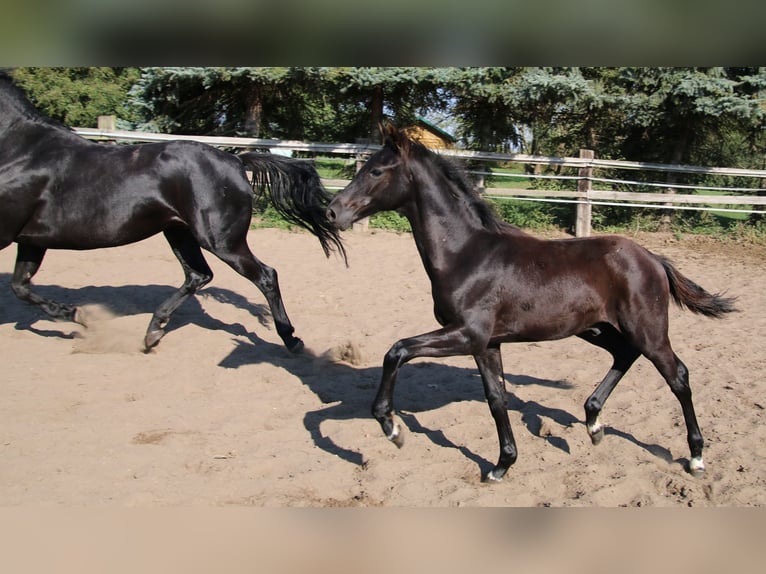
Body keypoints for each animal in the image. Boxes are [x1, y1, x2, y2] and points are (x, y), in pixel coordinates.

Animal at [0, 72, 344, 352]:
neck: (23, 150)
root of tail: (235, 160)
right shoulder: (31, 239)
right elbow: (20, 286)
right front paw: (76, 315)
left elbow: (20, 288)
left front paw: (78, 315)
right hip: (179, 231)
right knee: (199, 274)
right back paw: (153, 331)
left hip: (220, 240)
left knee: (265, 276)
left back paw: (291, 339)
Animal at [328, 125, 736, 482]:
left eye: (376, 170)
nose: (332, 212)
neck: (466, 254)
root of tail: (652, 258)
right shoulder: (487, 343)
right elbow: (497, 398)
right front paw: (501, 465)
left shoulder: (468, 334)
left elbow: (397, 350)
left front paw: (391, 427)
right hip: (598, 328)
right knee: (624, 354)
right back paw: (593, 423)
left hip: (648, 330)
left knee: (678, 376)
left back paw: (696, 458)